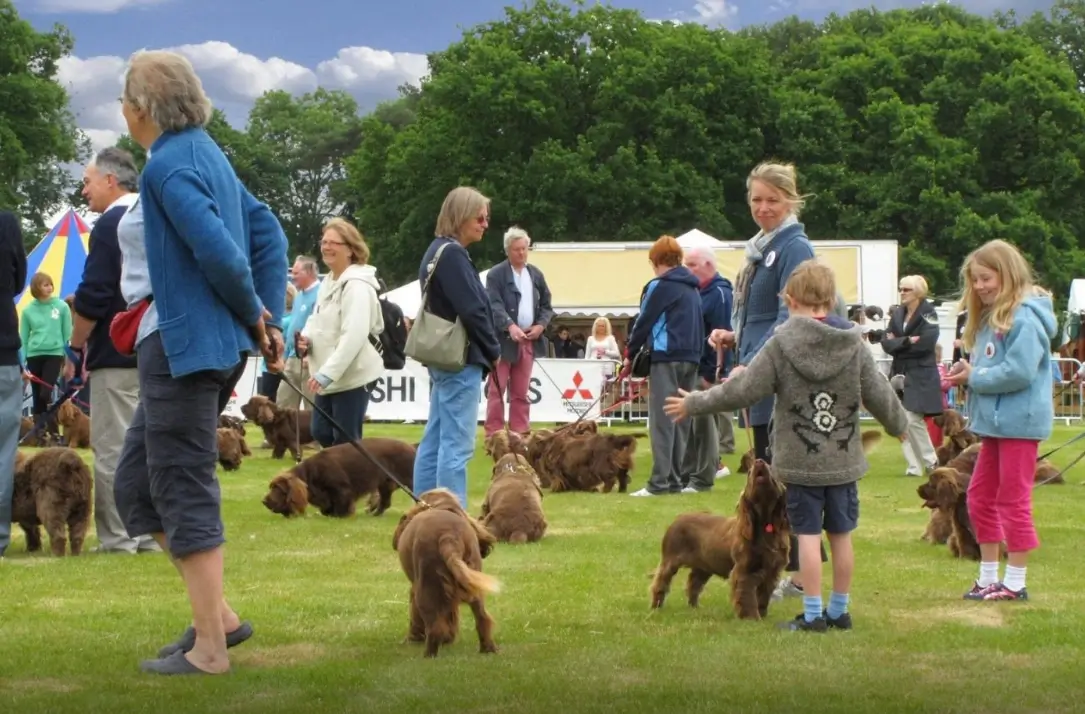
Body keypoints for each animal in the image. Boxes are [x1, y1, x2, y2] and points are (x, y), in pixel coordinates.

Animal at [261, 436, 414, 514]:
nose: (264, 501)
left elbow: (341, 505)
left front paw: (340, 515)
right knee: (385, 502)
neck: (310, 474)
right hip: (385, 483)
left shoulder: (342, 489)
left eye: (279, 489)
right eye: (271, 487)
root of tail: (411, 447)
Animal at [394, 483, 499, 655]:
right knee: (483, 618)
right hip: (473, 585)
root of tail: (448, 536)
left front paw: (413, 638)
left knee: (434, 627)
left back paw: (428, 655)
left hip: (426, 589)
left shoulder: (415, 588)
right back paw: (488, 649)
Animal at [646, 455, 794, 616]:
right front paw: (751, 618)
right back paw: (656, 606)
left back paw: (695, 607)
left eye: (771, 468)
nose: (759, 461)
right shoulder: (744, 570)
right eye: (749, 473)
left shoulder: (771, 572)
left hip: (704, 566)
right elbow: (747, 597)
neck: (764, 524)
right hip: (670, 559)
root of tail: (678, 518)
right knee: (660, 581)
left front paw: (762, 615)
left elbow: (762, 598)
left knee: (693, 583)